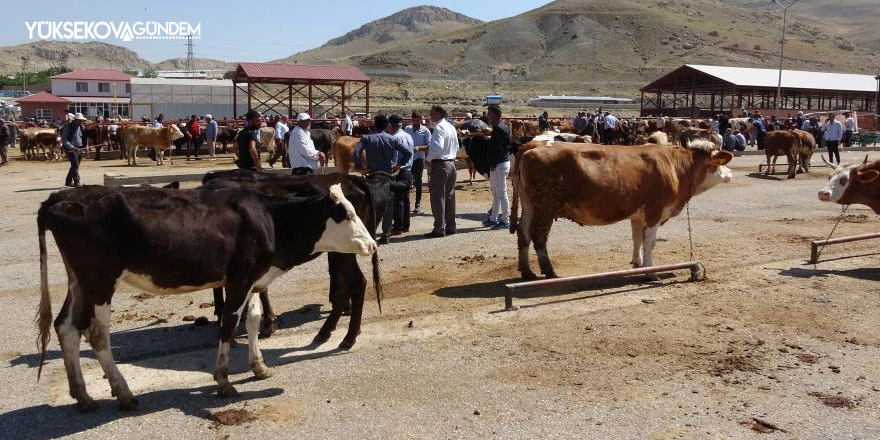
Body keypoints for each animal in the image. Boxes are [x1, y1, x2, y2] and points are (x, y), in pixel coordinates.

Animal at [36, 182, 374, 410]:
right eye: (347, 215)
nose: (371, 244)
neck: (270, 219)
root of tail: (60, 197)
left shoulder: (251, 278)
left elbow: (252, 320)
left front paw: (259, 366)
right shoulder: (239, 278)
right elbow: (228, 326)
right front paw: (223, 380)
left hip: (80, 282)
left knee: (66, 328)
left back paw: (83, 395)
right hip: (101, 282)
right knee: (96, 335)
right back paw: (125, 394)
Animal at [506, 138, 732, 280]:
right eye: (718, 163)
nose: (730, 174)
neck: (676, 167)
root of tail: (534, 143)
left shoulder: (638, 214)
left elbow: (637, 238)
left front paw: (637, 264)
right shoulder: (654, 210)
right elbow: (649, 243)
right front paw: (651, 271)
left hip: (530, 205)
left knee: (523, 232)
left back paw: (527, 272)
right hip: (546, 204)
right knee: (538, 236)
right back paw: (549, 272)